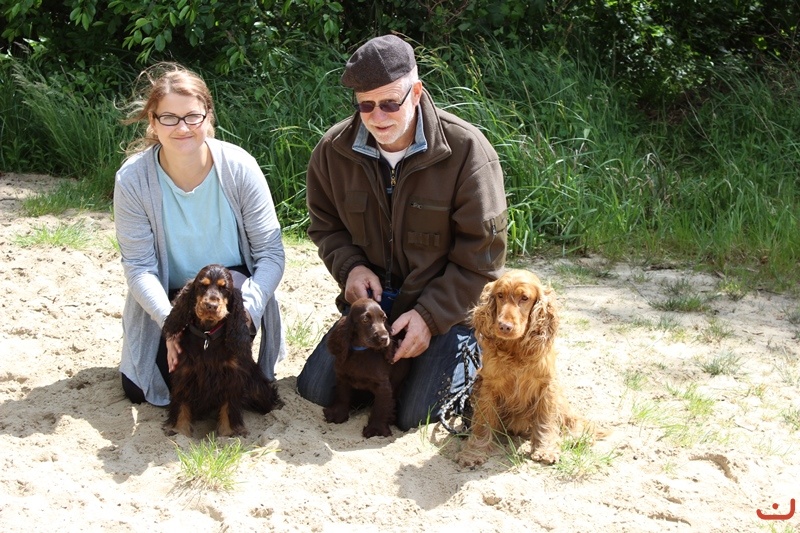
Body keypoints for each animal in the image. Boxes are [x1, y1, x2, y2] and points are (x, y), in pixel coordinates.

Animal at [162, 264, 281, 438]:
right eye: (202, 286)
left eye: (225, 289)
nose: (211, 305)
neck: (207, 336)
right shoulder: (185, 373)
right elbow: (181, 402)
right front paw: (179, 430)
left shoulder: (231, 376)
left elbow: (229, 406)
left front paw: (229, 433)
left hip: (256, 386)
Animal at [323, 297, 411, 438]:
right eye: (365, 320)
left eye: (383, 319)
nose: (384, 338)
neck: (361, 350)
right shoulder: (342, 377)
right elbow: (342, 396)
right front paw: (337, 415)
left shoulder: (383, 386)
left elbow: (380, 407)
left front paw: (376, 429)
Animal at [456, 269, 606, 467]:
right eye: (500, 295)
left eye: (524, 298)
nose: (504, 326)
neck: (516, 351)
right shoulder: (488, 386)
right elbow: (483, 421)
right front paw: (473, 453)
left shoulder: (546, 385)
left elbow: (545, 419)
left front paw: (545, 449)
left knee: (572, 421)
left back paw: (578, 438)